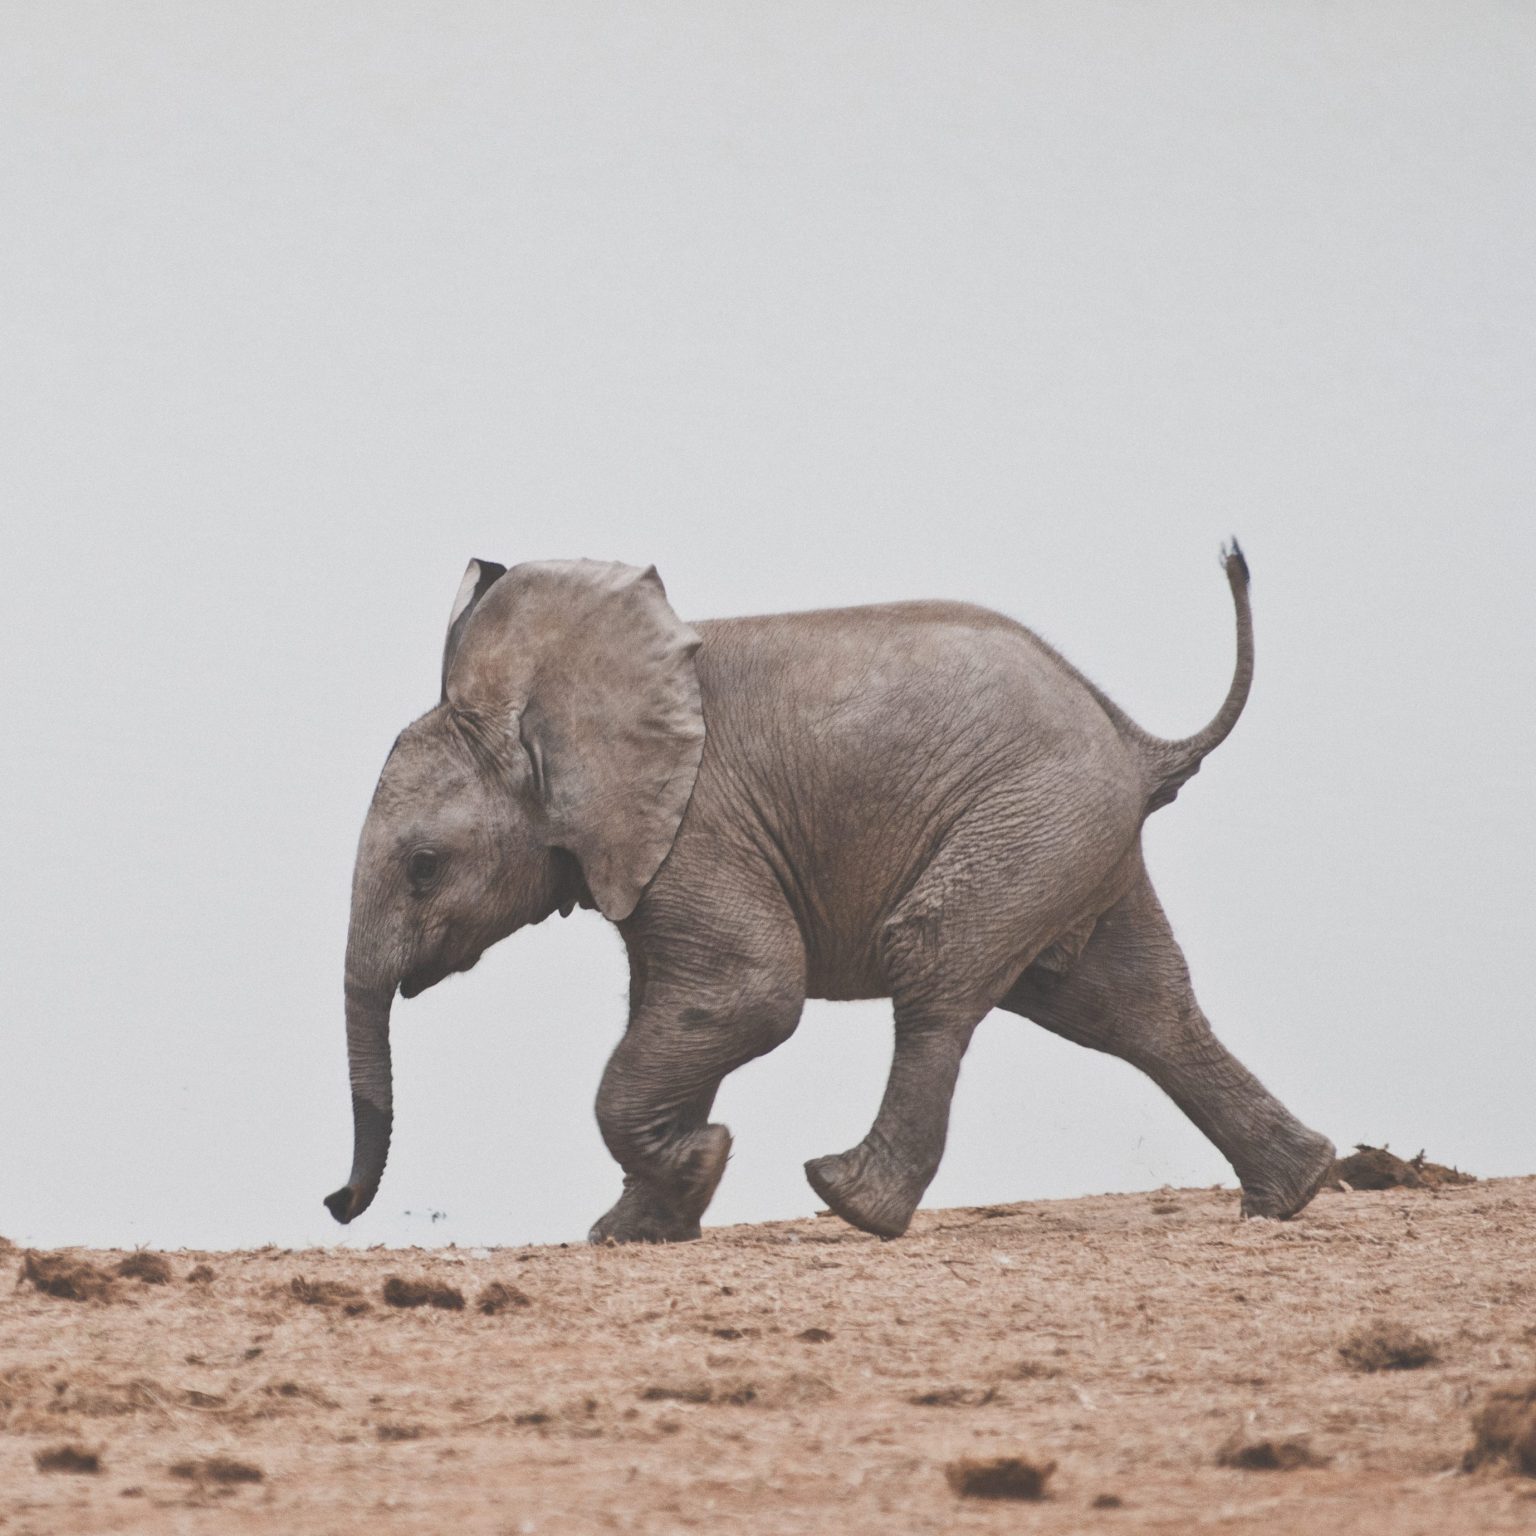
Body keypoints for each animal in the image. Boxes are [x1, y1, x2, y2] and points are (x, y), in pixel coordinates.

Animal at [325, 547, 1335, 1243]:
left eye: (423, 866)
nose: (337, 1202)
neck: (546, 704)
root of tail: (1137, 740)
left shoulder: (697, 826)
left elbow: (748, 994)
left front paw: (698, 1161)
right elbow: (676, 1005)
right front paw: (639, 1227)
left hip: (1035, 816)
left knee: (937, 959)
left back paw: (851, 1201)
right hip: (1075, 837)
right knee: (1130, 1007)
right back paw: (1292, 1193)